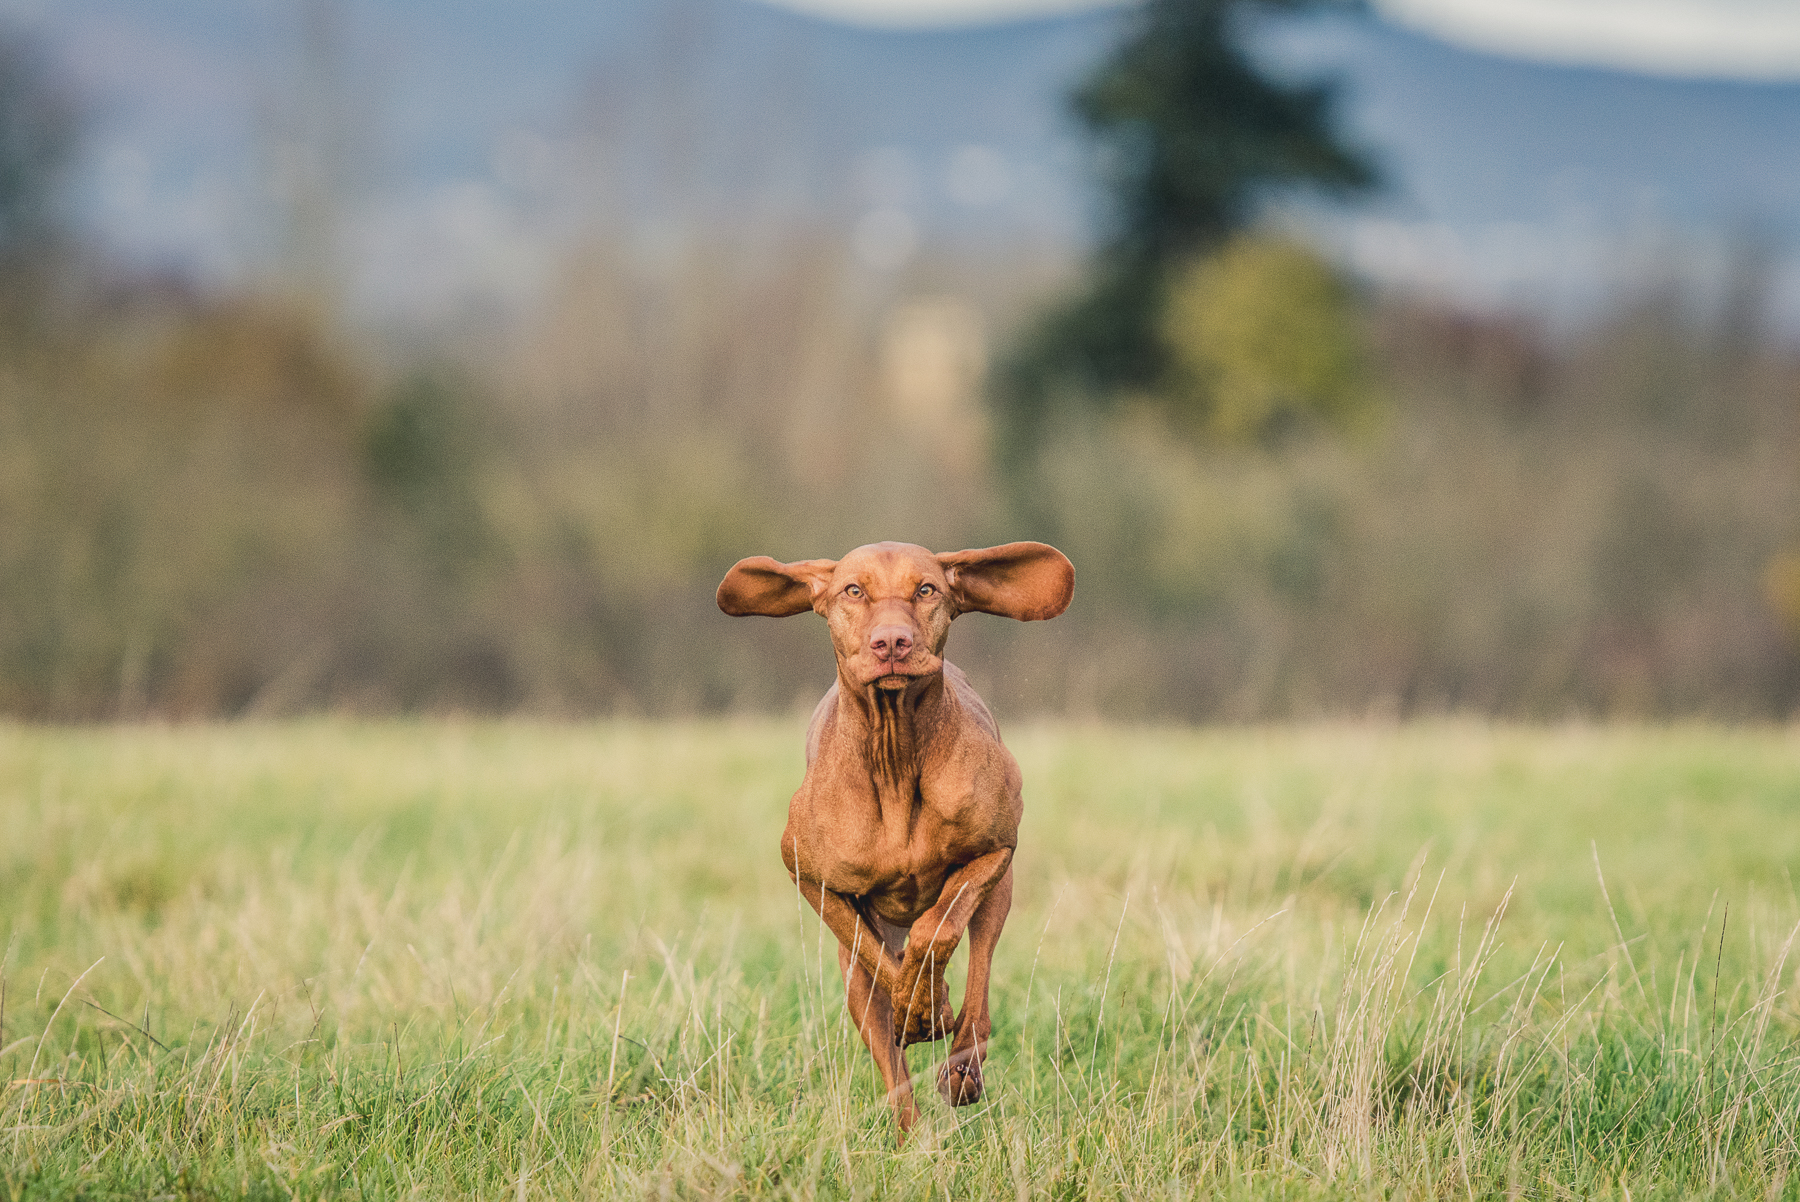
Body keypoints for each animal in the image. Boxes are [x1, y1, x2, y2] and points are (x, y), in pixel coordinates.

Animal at [716, 543, 1072, 1137]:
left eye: (926, 589)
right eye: (852, 590)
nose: (891, 643)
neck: (895, 753)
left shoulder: (995, 850)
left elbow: (937, 932)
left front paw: (931, 1004)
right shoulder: (806, 873)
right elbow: (879, 958)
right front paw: (920, 1010)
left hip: (999, 895)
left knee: (978, 992)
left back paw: (962, 1068)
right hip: (852, 979)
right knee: (889, 1051)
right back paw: (911, 1128)